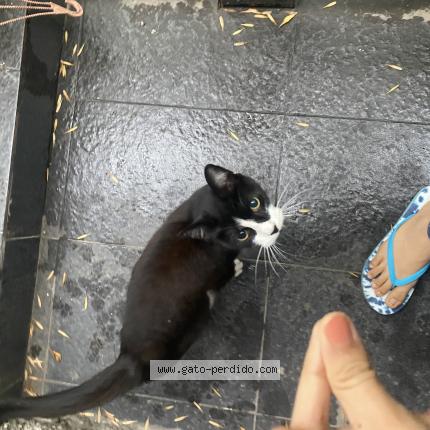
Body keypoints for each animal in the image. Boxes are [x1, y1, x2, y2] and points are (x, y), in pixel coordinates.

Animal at [0, 164, 284, 421]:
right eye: (242, 234)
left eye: (255, 202)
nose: (274, 229)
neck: (196, 212)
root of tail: (129, 355)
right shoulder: (216, 264)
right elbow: (225, 271)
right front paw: (238, 266)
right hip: (193, 321)